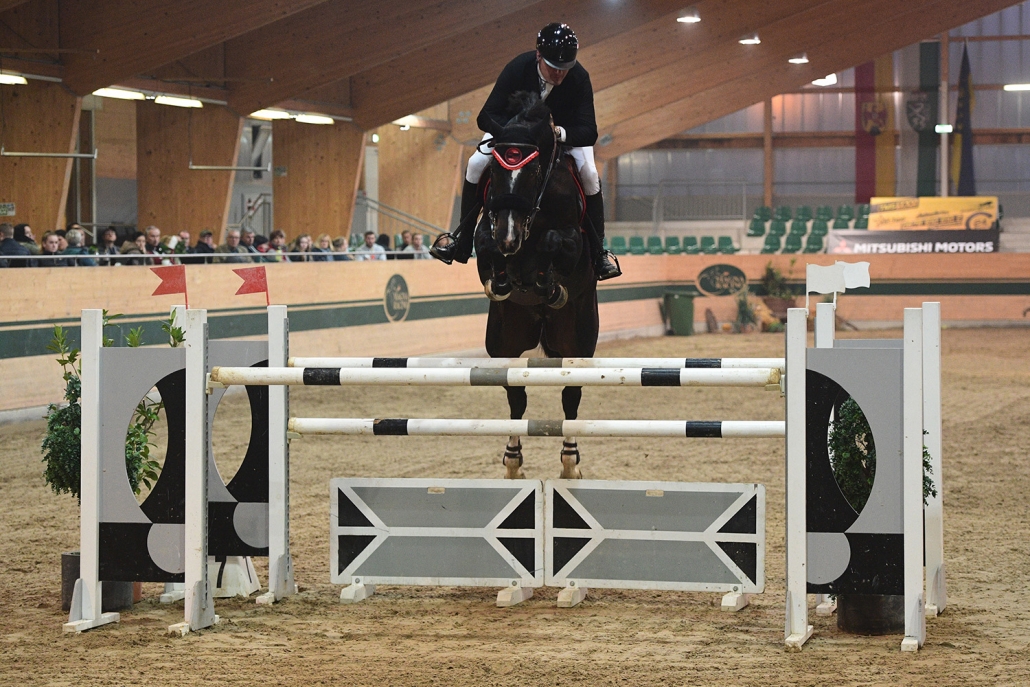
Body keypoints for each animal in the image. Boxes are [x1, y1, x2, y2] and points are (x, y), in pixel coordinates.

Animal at [471, 92, 601, 477]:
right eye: (496, 171)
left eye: (532, 171)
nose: (509, 237)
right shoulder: (486, 232)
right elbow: (486, 246)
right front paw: (502, 279)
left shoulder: (572, 240)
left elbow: (553, 243)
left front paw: (549, 284)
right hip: (505, 341)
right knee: (516, 396)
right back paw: (513, 463)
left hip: (577, 341)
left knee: (570, 395)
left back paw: (570, 465)